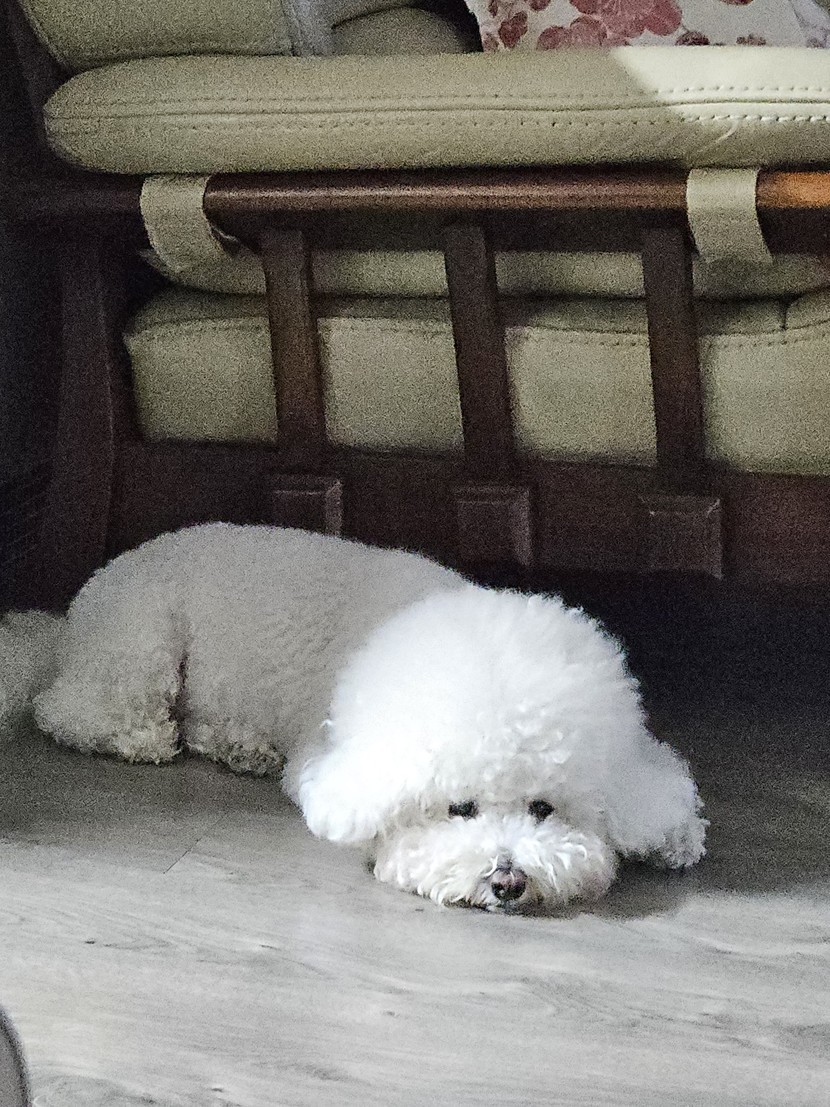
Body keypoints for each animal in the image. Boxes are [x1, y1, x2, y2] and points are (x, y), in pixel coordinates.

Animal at [0, 523, 706, 911]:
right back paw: (141, 738)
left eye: (543, 808)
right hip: (141, 644)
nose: (507, 881)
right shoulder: (324, 755)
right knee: (69, 709)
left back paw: (240, 746)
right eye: (459, 808)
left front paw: (677, 836)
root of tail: (69, 622)